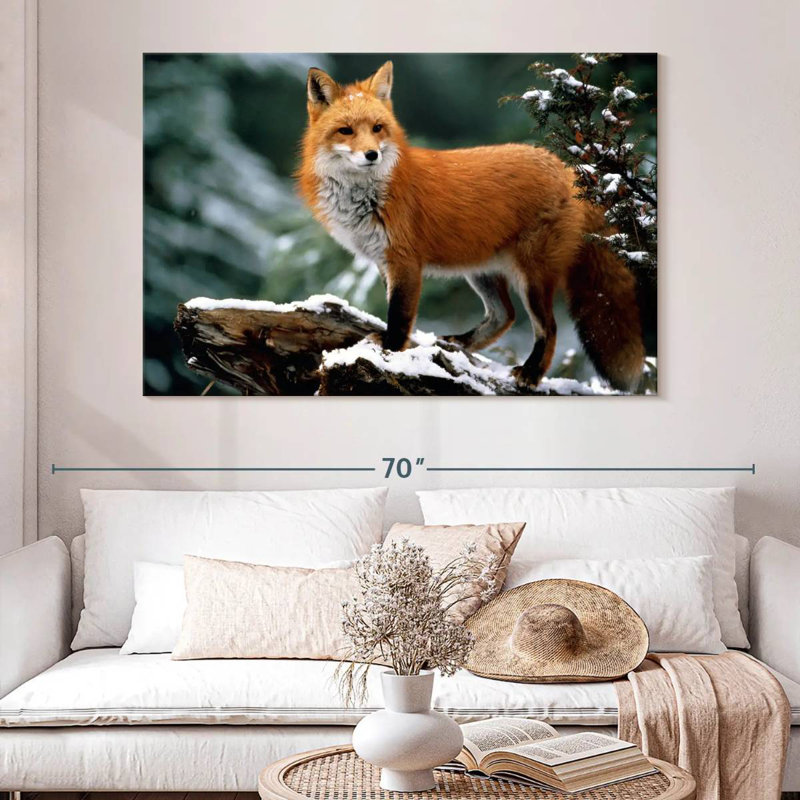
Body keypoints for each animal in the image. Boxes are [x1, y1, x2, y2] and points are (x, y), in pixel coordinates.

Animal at [297, 61, 645, 391]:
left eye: (377, 128)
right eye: (345, 131)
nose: (372, 154)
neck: (367, 195)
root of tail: (568, 168)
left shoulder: (405, 261)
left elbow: (399, 316)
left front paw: (392, 352)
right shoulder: (384, 261)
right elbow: (395, 310)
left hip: (532, 277)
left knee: (549, 327)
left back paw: (531, 373)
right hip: (481, 271)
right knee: (504, 315)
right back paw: (460, 344)